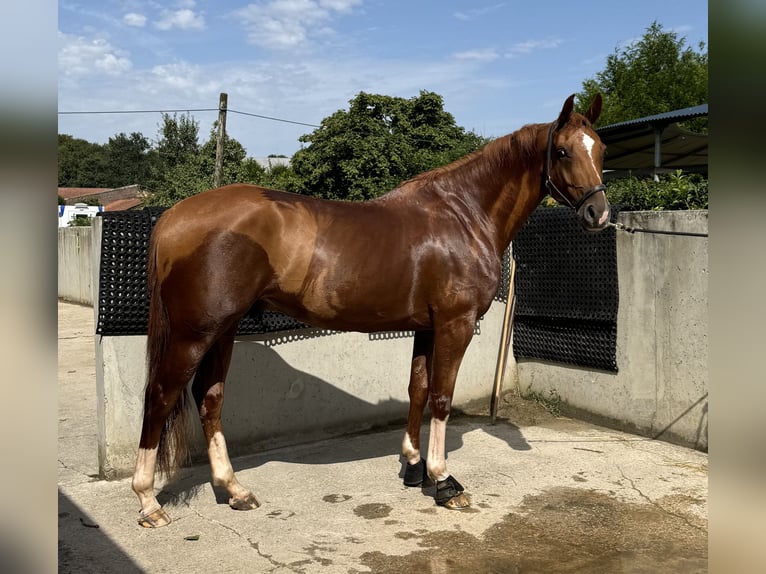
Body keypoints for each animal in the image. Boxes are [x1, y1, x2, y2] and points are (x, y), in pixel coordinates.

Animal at [132, 94, 612, 532]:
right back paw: (148, 502)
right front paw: (443, 481)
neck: (464, 215)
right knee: (159, 396)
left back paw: (234, 490)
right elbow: (442, 397)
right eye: (563, 151)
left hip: (224, 329)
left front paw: (414, 467)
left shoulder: (426, 327)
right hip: (194, 334)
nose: (599, 214)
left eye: (601, 149)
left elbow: (418, 389)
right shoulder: (455, 324)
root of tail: (174, 214)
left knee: (209, 397)